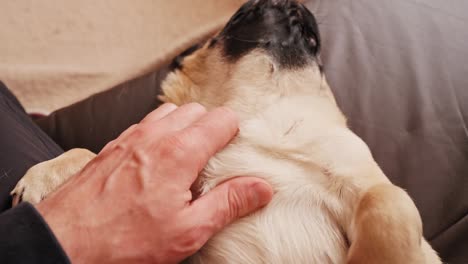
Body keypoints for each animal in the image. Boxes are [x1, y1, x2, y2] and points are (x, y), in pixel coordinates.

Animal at [11, 1, 442, 262]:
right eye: (241, 16)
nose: (286, 1)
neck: (253, 108)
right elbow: (92, 153)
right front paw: (47, 178)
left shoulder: (364, 181)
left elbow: (389, 201)